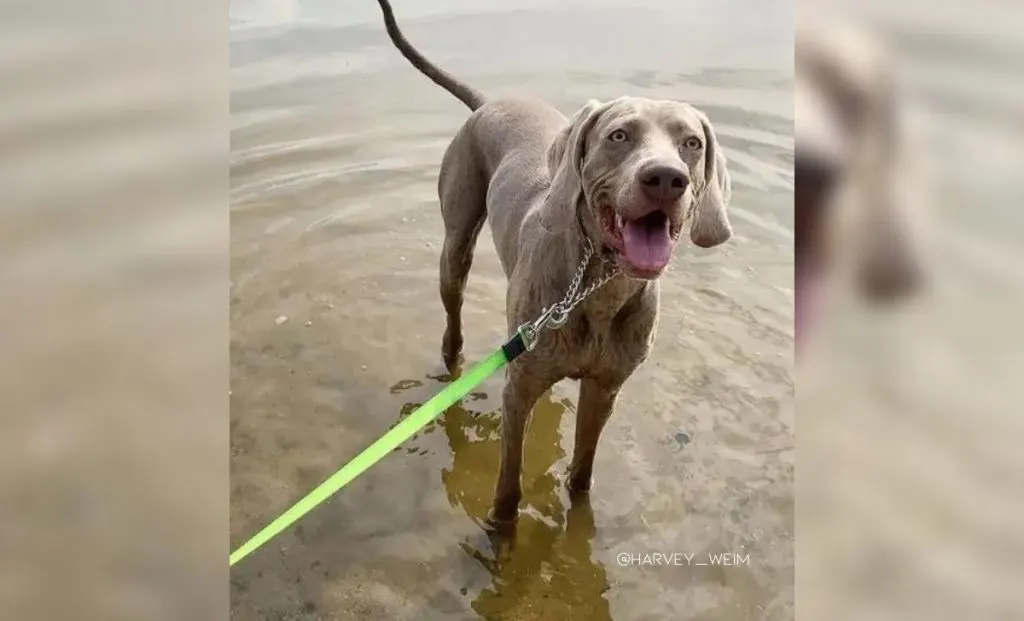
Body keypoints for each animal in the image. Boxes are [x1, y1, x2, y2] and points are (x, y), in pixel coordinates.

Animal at [372, 0, 733, 524]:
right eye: (618, 135)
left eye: (692, 143)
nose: (666, 178)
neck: (598, 288)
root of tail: (487, 102)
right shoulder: (518, 386)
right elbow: (508, 482)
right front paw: (500, 530)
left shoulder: (605, 388)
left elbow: (582, 471)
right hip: (456, 241)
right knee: (453, 313)